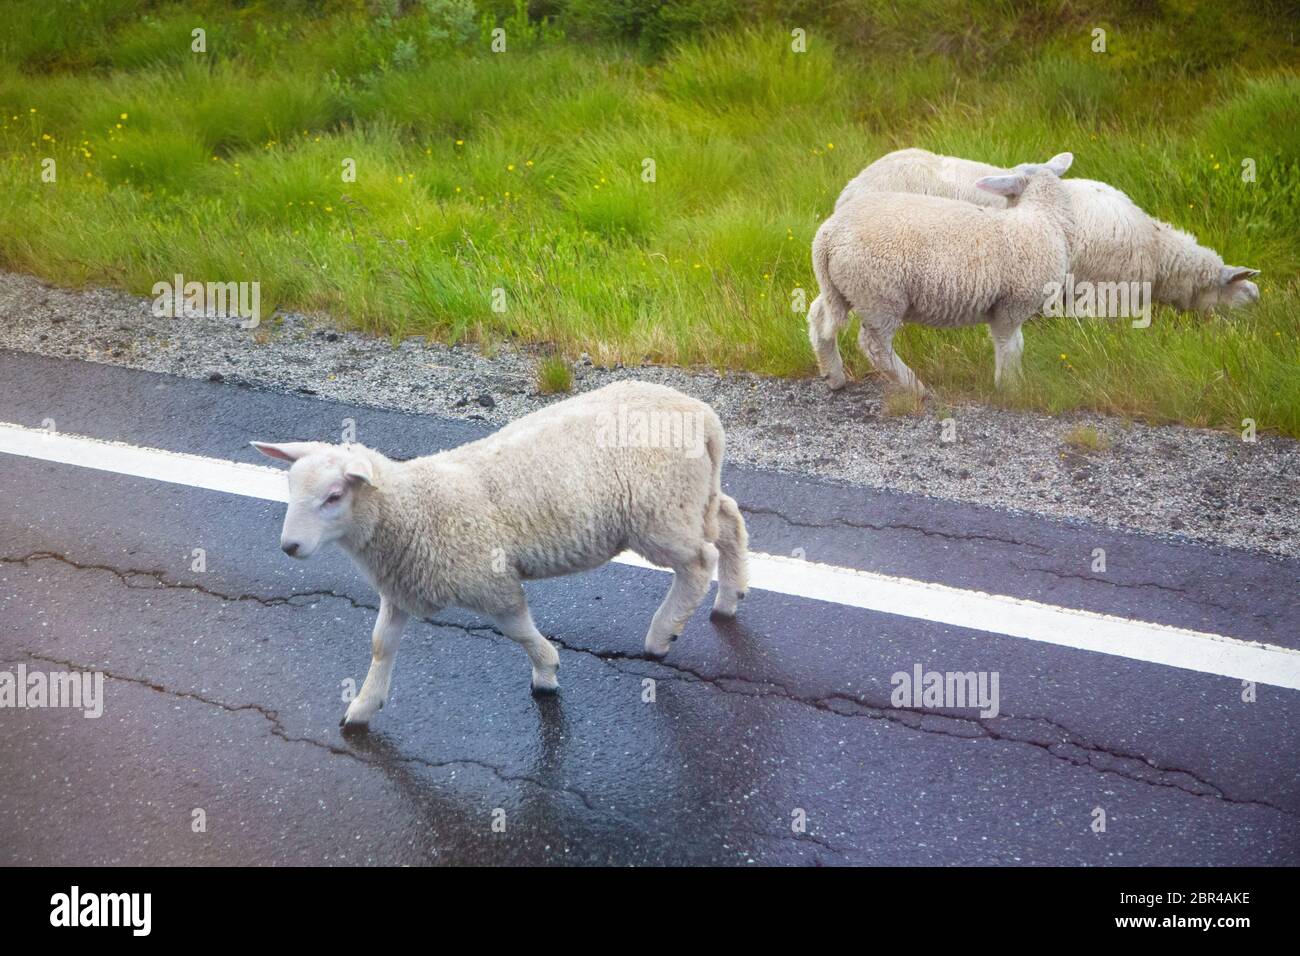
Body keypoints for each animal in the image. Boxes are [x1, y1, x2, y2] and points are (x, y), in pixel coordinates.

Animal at [250, 377, 754, 728]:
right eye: (290, 488)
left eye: (334, 496)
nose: (289, 546)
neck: (412, 508)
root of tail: (703, 415)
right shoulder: (401, 587)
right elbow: (380, 644)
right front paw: (362, 706)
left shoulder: (489, 580)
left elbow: (517, 629)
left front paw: (546, 671)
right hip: (691, 496)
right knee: (729, 521)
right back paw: (730, 598)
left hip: (659, 511)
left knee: (698, 561)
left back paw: (662, 633)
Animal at [811, 151, 1076, 395]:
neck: (1041, 218)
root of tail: (827, 237)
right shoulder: (1011, 305)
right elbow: (1009, 347)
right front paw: (1010, 386)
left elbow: (1017, 344)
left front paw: (1015, 380)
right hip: (879, 295)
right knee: (875, 347)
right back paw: (916, 388)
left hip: (844, 289)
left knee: (819, 316)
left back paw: (834, 376)